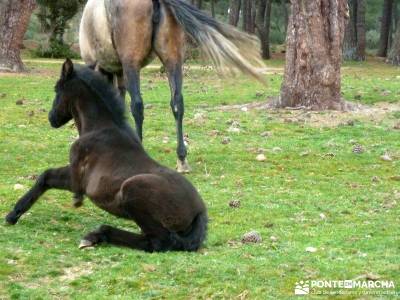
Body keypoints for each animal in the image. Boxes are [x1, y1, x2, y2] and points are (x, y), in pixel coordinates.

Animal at [5, 59, 206, 252]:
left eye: (57, 89)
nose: (51, 118)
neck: (99, 128)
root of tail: (200, 212)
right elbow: (46, 176)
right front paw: (13, 214)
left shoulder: (77, 176)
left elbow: (53, 179)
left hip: (132, 189)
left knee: (158, 241)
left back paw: (96, 235)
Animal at [79, 0, 264, 172]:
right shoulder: (117, 71)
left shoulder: (98, 66)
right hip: (172, 59)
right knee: (177, 103)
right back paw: (182, 159)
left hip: (131, 63)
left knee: (137, 105)